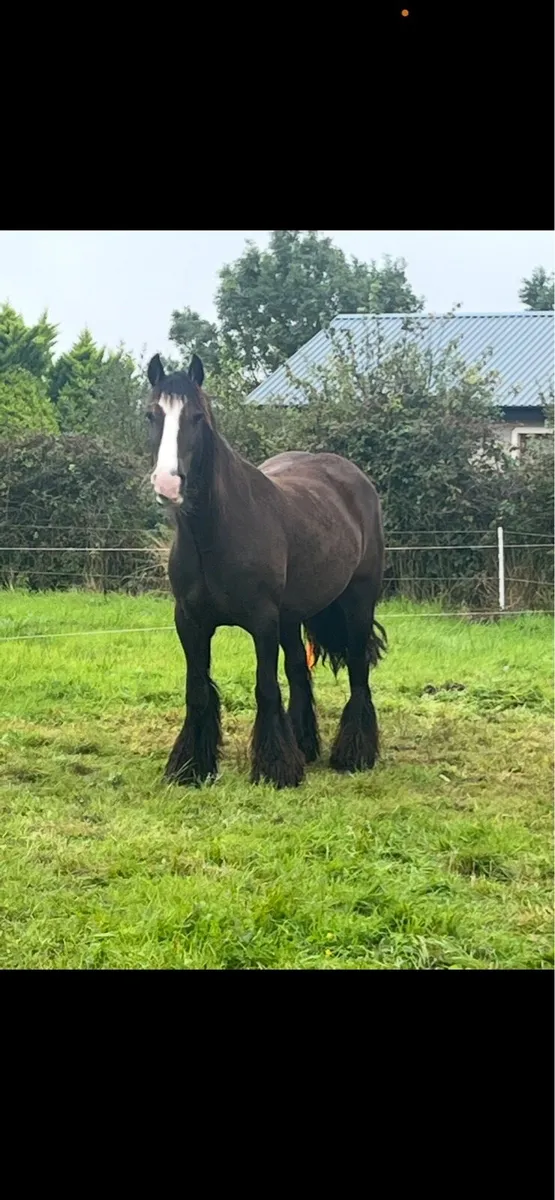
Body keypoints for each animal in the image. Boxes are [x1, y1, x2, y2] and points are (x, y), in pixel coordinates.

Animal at [146, 352, 386, 789]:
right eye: (151, 414)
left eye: (197, 417)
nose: (168, 485)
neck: (214, 534)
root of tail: (353, 478)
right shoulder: (190, 622)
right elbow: (198, 691)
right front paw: (192, 766)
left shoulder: (262, 622)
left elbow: (265, 689)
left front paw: (275, 769)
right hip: (292, 618)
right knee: (299, 672)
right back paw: (305, 745)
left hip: (358, 603)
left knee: (359, 672)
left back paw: (354, 754)